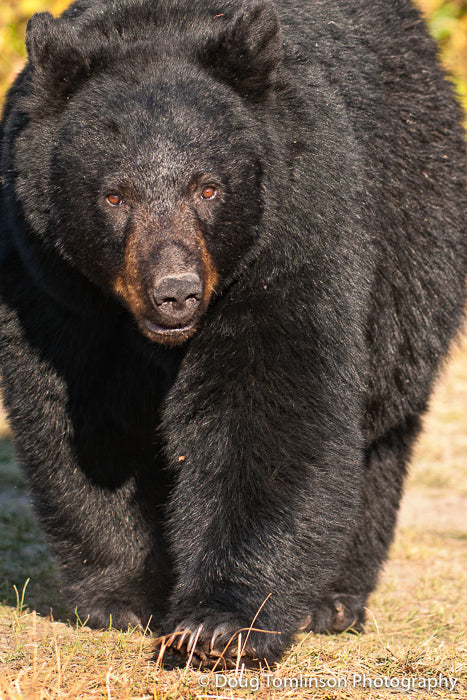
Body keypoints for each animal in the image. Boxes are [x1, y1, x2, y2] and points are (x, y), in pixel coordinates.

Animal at [0, 0, 466, 669]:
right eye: (114, 196)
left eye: (208, 187)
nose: (175, 292)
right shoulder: (52, 279)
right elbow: (83, 420)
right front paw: (129, 597)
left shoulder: (297, 235)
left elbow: (267, 409)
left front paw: (218, 625)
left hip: (415, 259)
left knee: (380, 432)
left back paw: (334, 600)